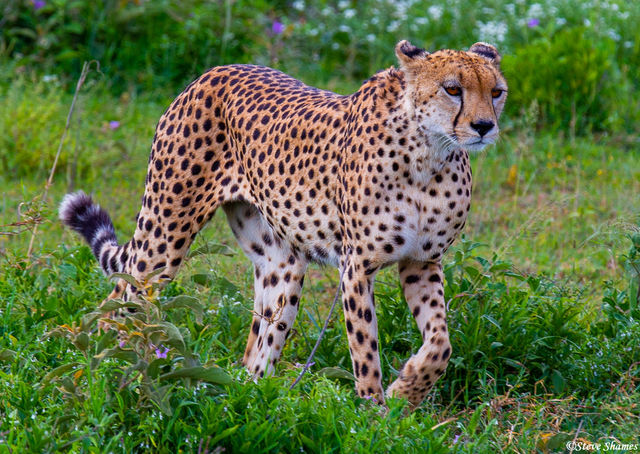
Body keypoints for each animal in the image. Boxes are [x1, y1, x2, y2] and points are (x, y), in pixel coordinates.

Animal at [59, 40, 507, 407]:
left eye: (496, 92)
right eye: (453, 89)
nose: (484, 126)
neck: (428, 155)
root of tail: (215, 71)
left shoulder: (422, 262)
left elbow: (441, 344)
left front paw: (408, 389)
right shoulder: (357, 267)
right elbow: (365, 351)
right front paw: (374, 414)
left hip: (282, 267)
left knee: (256, 352)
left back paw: (253, 398)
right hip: (163, 238)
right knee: (121, 298)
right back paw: (108, 373)